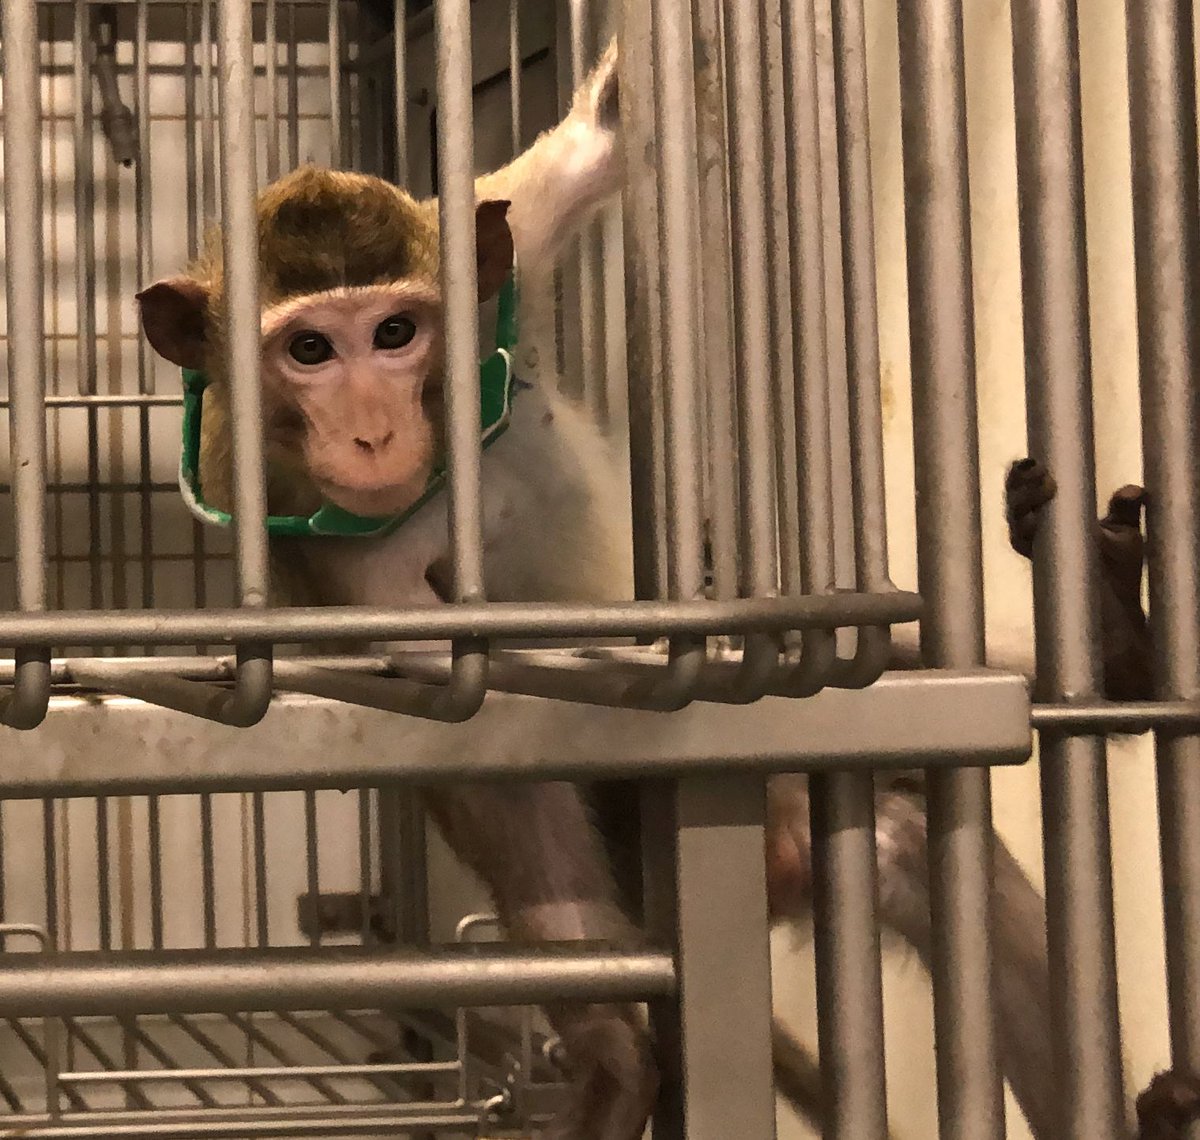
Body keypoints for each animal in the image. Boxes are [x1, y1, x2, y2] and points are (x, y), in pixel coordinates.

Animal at [135, 40, 1059, 1139]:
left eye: (396, 332)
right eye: (309, 349)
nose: (370, 433)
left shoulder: (488, 252)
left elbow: (591, 148)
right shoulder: (295, 512)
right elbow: (429, 646)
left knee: (916, 845)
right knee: (530, 818)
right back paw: (617, 1061)